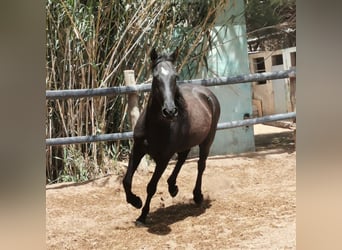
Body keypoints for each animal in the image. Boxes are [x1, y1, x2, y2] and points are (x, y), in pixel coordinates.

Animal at [123, 47, 222, 224]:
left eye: (175, 76)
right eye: (156, 77)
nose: (170, 111)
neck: (154, 127)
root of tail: (207, 93)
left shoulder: (164, 158)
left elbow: (151, 186)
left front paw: (143, 215)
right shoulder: (138, 149)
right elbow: (126, 181)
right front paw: (135, 202)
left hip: (207, 140)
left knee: (200, 165)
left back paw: (197, 196)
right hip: (187, 141)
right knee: (182, 158)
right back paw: (172, 187)